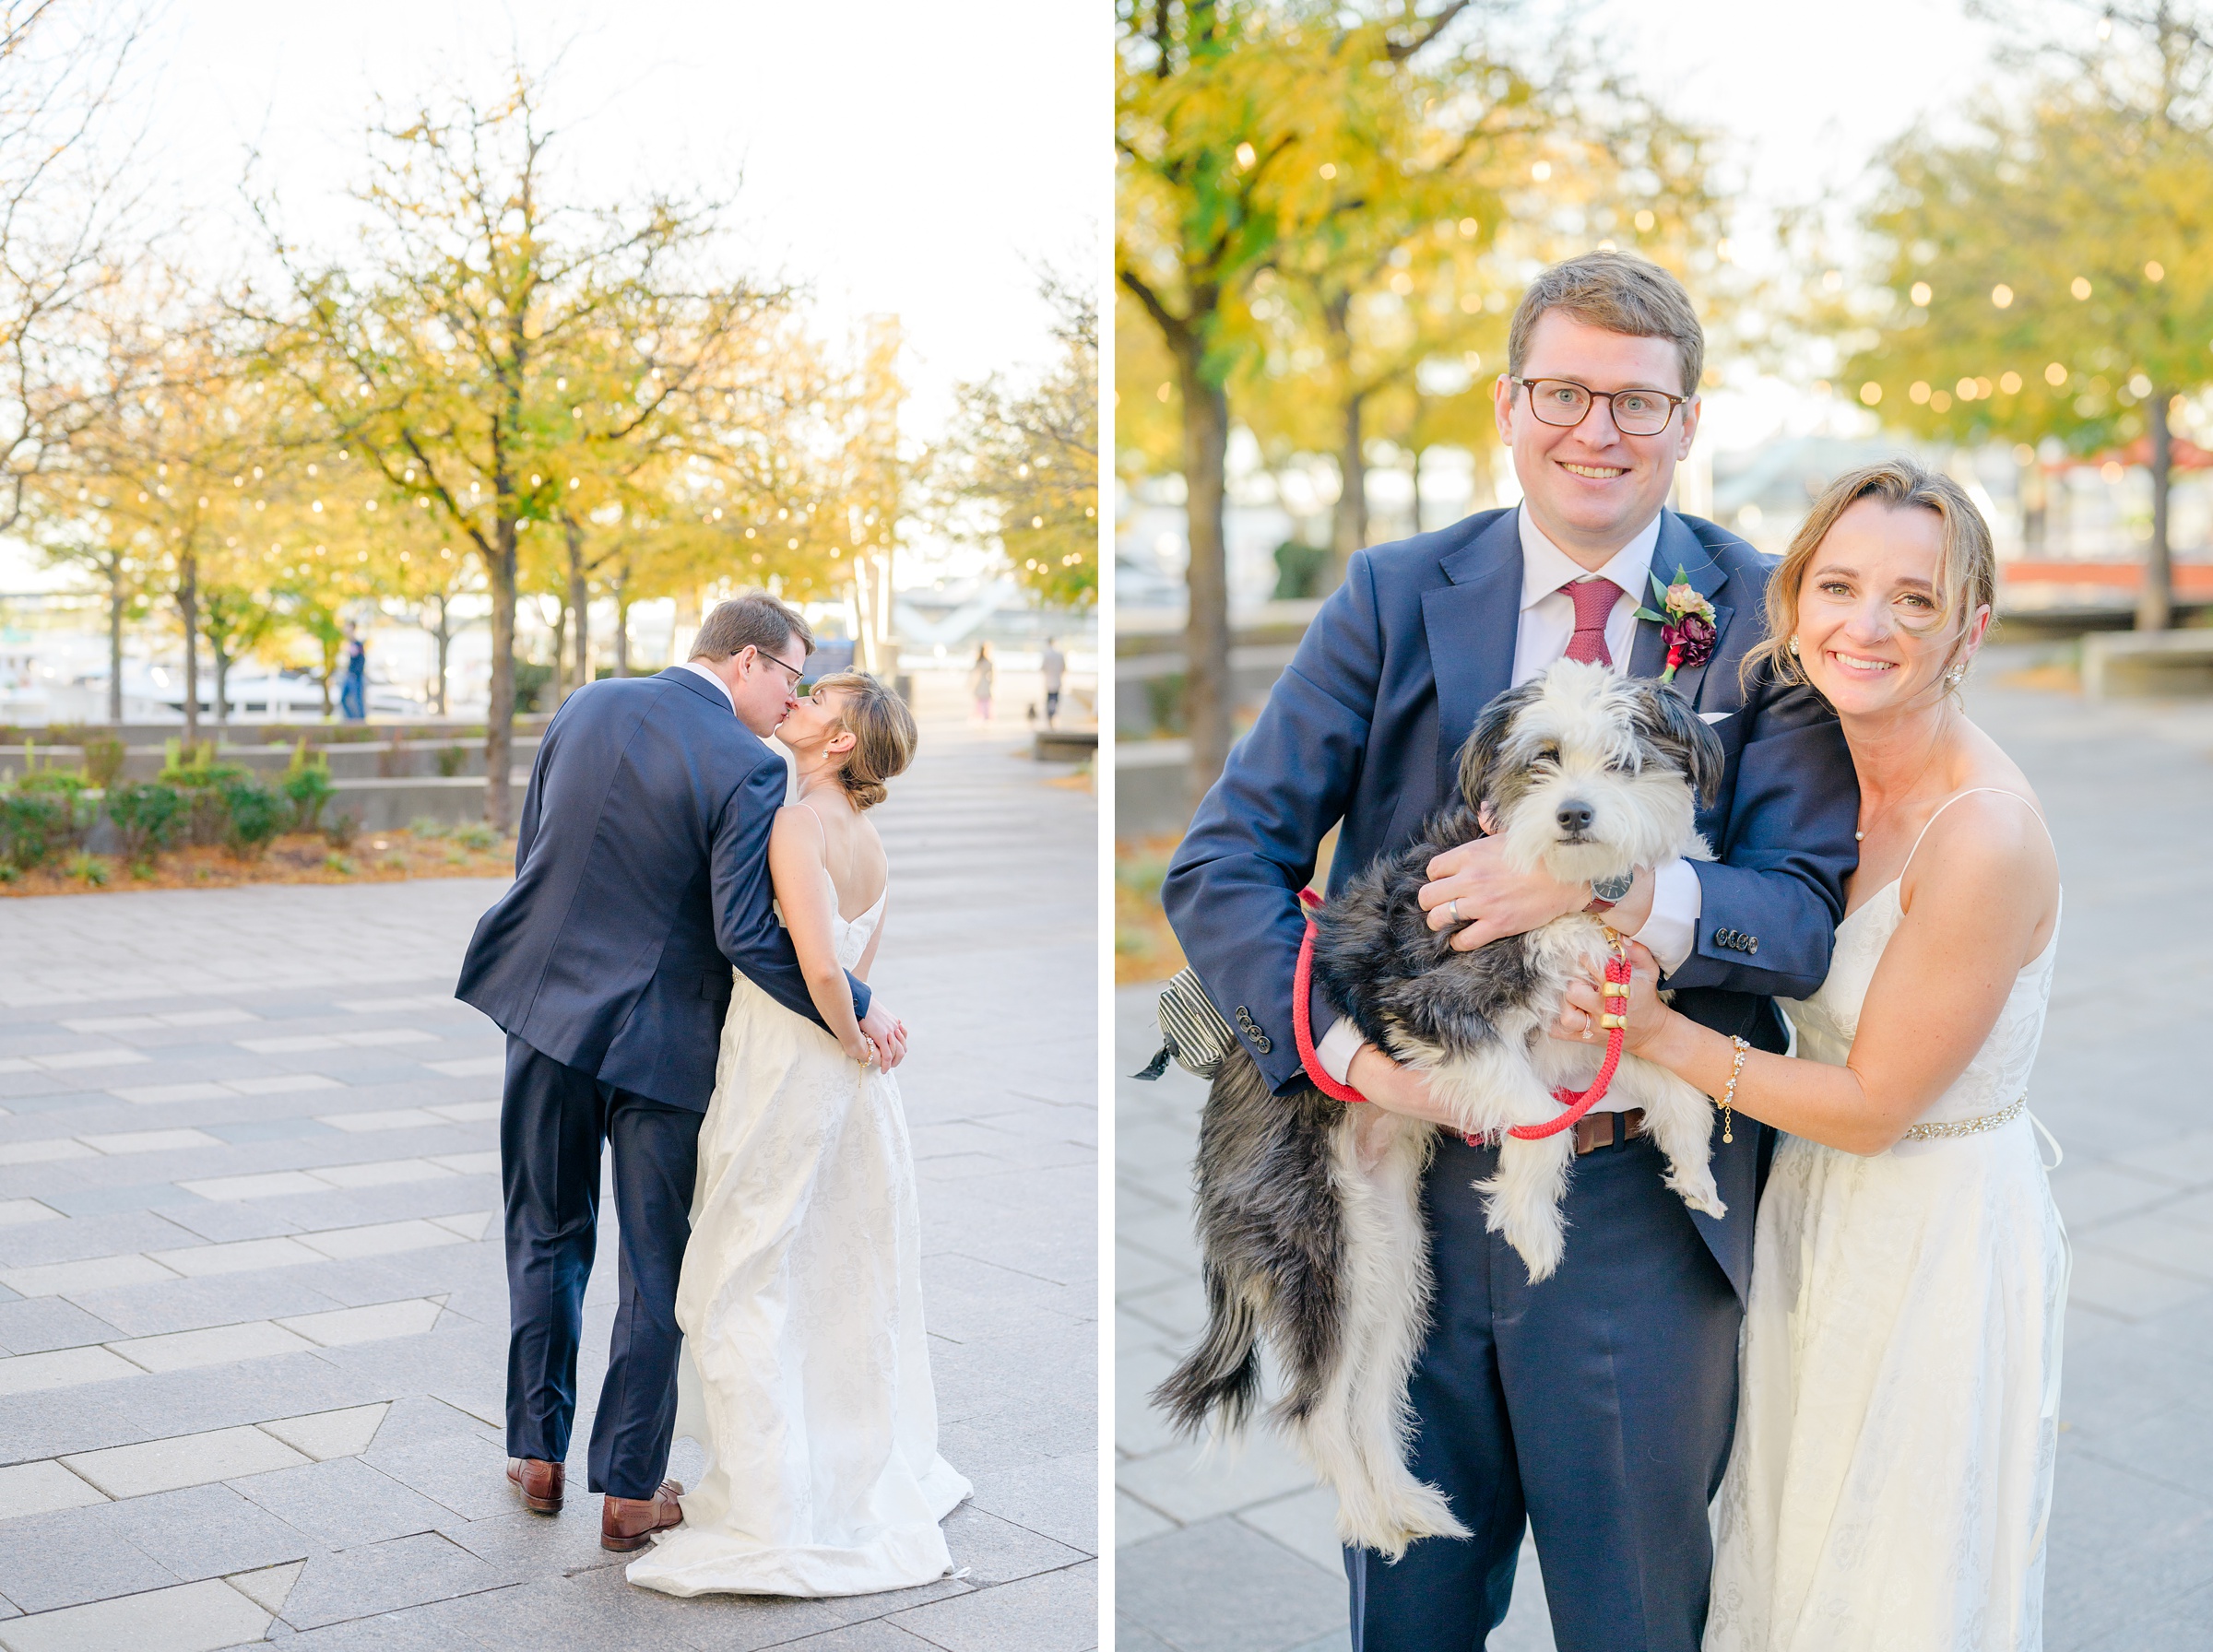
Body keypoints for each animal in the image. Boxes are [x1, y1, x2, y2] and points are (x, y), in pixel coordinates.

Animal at [1151, 658, 1734, 1565]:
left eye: (1624, 763)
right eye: (1543, 759)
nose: (1574, 813)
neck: (1562, 895)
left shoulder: (1582, 1030)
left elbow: (1675, 1089)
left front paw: (1696, 1175)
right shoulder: (1435, 1010)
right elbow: (1544, 1124)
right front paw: (1532, 1226)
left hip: (1388, 1263)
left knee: (1370, 1394)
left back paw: (1406, 1509)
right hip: (1321, 1254)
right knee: (1316, 1411)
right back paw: (1367, 1517)